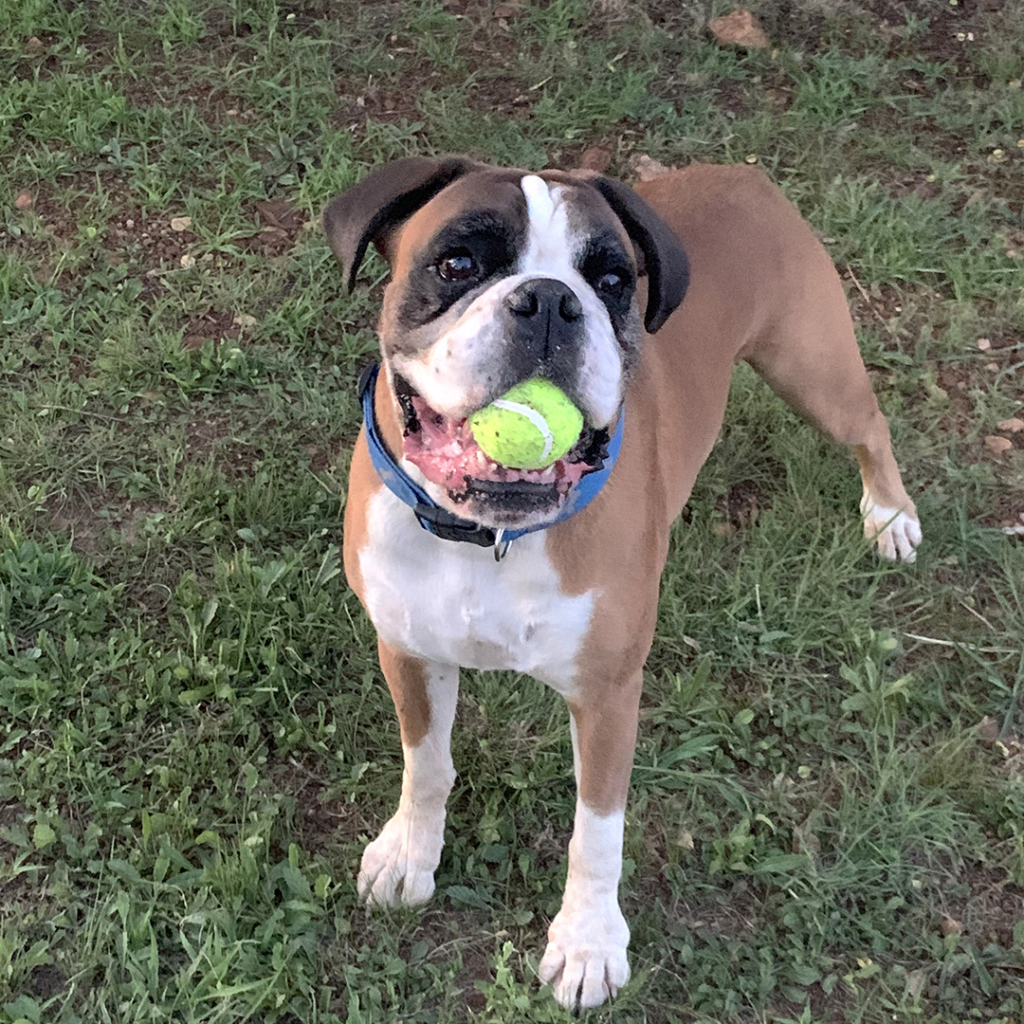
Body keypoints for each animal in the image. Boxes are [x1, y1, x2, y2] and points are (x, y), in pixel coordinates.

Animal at [323, 155, 925, 1011]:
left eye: (610, 280)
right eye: (457, 264)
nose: (549, 301)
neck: (490, 539)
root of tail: (742, 173)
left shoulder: (608, 697)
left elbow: (597, 831)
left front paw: (588, 944)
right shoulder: (408, 650)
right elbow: (427, 765)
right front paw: (411, 852)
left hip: (813, 368)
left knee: (869, 424)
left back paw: (890, 514)